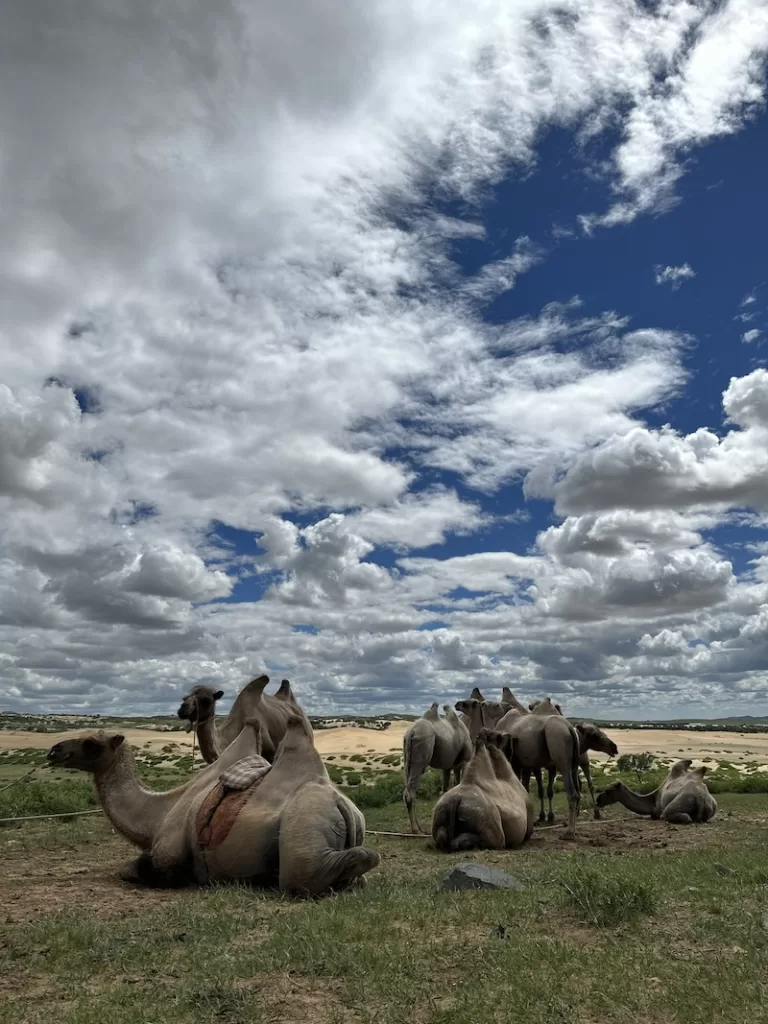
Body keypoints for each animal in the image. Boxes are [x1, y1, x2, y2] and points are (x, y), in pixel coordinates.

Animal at [48, 712, 378, 897]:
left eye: (92, 744)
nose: (54, 750)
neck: (157, 815)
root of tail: (342, 804)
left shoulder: (168, 857)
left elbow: (131, 869)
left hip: (306, 826)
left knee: (317, 871)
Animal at [403, 700, 475, 835]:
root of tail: (411, 732)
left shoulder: (448, 766)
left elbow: (446, 789)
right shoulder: (464, 761)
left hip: (407, 758)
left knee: (406, 791)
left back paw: (418, 828)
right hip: (421, 752)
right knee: (411, 792)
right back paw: (416, 830)